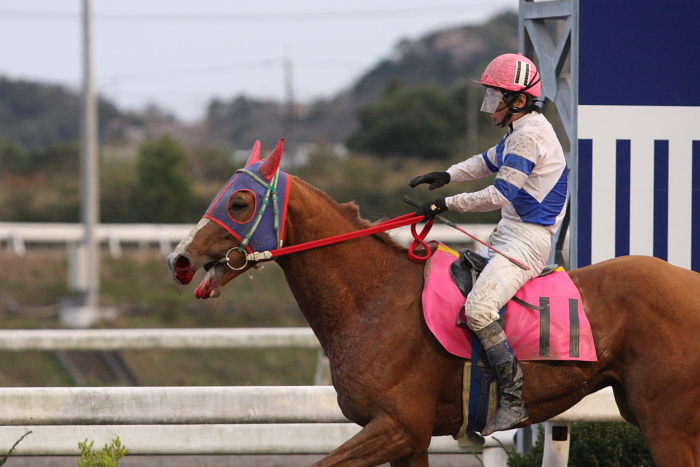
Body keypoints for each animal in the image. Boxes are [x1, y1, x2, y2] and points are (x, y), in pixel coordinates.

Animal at [168, 141, 700, 466]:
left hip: (667, 423)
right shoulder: (409, 439)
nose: (180, 259)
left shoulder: (398, 426)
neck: (373, 301)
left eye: (239, 202)